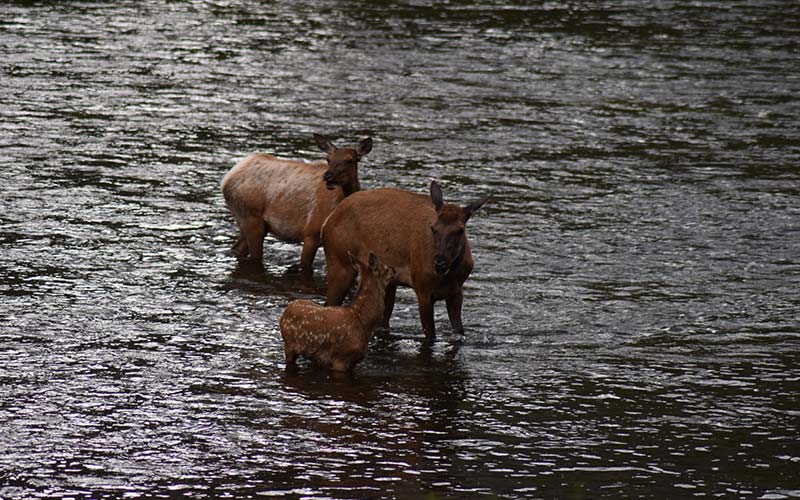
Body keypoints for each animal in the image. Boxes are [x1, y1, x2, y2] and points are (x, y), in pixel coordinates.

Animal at [220, 135, 374, 272]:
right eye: (328, 159)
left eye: (350, 160)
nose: (328, 177)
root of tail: (226, 179)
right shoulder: (310, 232)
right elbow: (305, 265)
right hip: (251, 218)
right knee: (254, 256)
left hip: (250, 223)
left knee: (236, 249)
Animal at [322, 180, 490, 340]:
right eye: (433, 228)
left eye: (460, 230)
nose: (439, 262)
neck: (449, 276)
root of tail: (327, 220)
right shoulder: (422, 290)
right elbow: (430, 334)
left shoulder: (456, 292)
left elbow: (459, 331)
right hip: (340, 264)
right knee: (329, 304)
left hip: (387, 282)